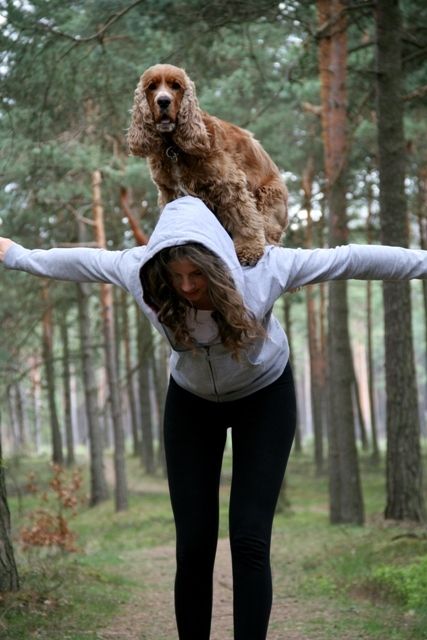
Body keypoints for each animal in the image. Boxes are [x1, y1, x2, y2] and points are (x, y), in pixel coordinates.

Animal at [127, 64, 288, 265]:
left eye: (176, 86)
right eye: (152, 87)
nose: (163, 101)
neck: (173, 147)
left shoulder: (229, 184)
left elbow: (243, 218)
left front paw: (248, 249)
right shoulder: (169, 192)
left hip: (268, 199)